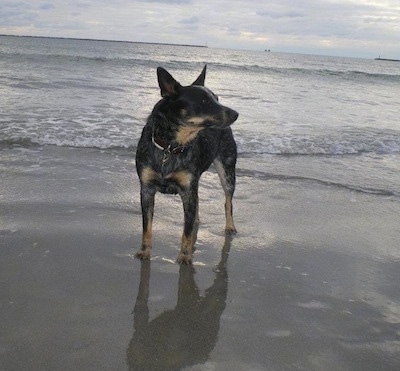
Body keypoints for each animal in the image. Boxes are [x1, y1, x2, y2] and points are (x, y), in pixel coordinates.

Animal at [136, 67, 239, 264]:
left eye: (217, 98)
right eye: (204, 101)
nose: (235, 113)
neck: (170, 147)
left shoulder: (187, 190)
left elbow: (186, 231)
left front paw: (185, 255)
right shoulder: (146, 190)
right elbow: (146, 226)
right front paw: (144, 251)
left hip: (227, 169)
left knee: (228, 201)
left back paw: (229, 226)